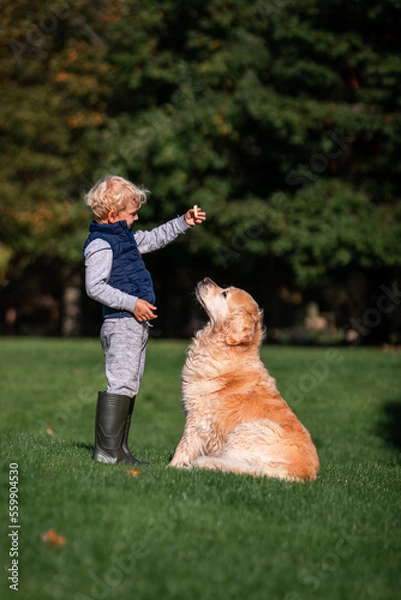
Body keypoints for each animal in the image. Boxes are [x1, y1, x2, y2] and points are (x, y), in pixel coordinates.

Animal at [169, 278, 318, 480]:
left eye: (225, 294)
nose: (205, 279)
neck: (226, 346)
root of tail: (304, 473)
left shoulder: (198, 417)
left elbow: (184, 446)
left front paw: (171, 467)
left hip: (247, 431)